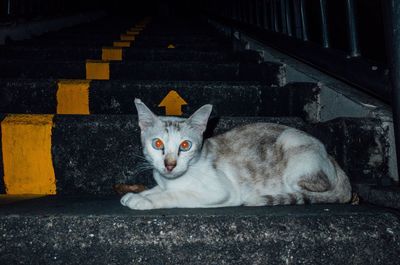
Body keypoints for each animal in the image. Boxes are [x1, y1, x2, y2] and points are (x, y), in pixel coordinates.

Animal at [120, 98, 352, 209]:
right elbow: (157, 189)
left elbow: (175, 195)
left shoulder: (219, 191)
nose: (169, 164)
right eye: (157, 143)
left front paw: (145, 200)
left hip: (292, 149)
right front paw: (140, 194)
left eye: (185, 145)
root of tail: (333, 160)